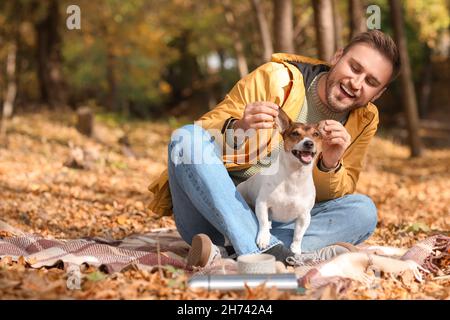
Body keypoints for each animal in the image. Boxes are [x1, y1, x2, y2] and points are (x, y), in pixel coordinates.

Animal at [236, 109, 324, 254]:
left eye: (316, 134)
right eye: (295, 133)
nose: (309, 143)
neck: (295, 177)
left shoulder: (304, 216)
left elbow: (298, 235)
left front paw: (295, 249)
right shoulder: (262, 204)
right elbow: (263, 223)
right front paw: (264, 238)